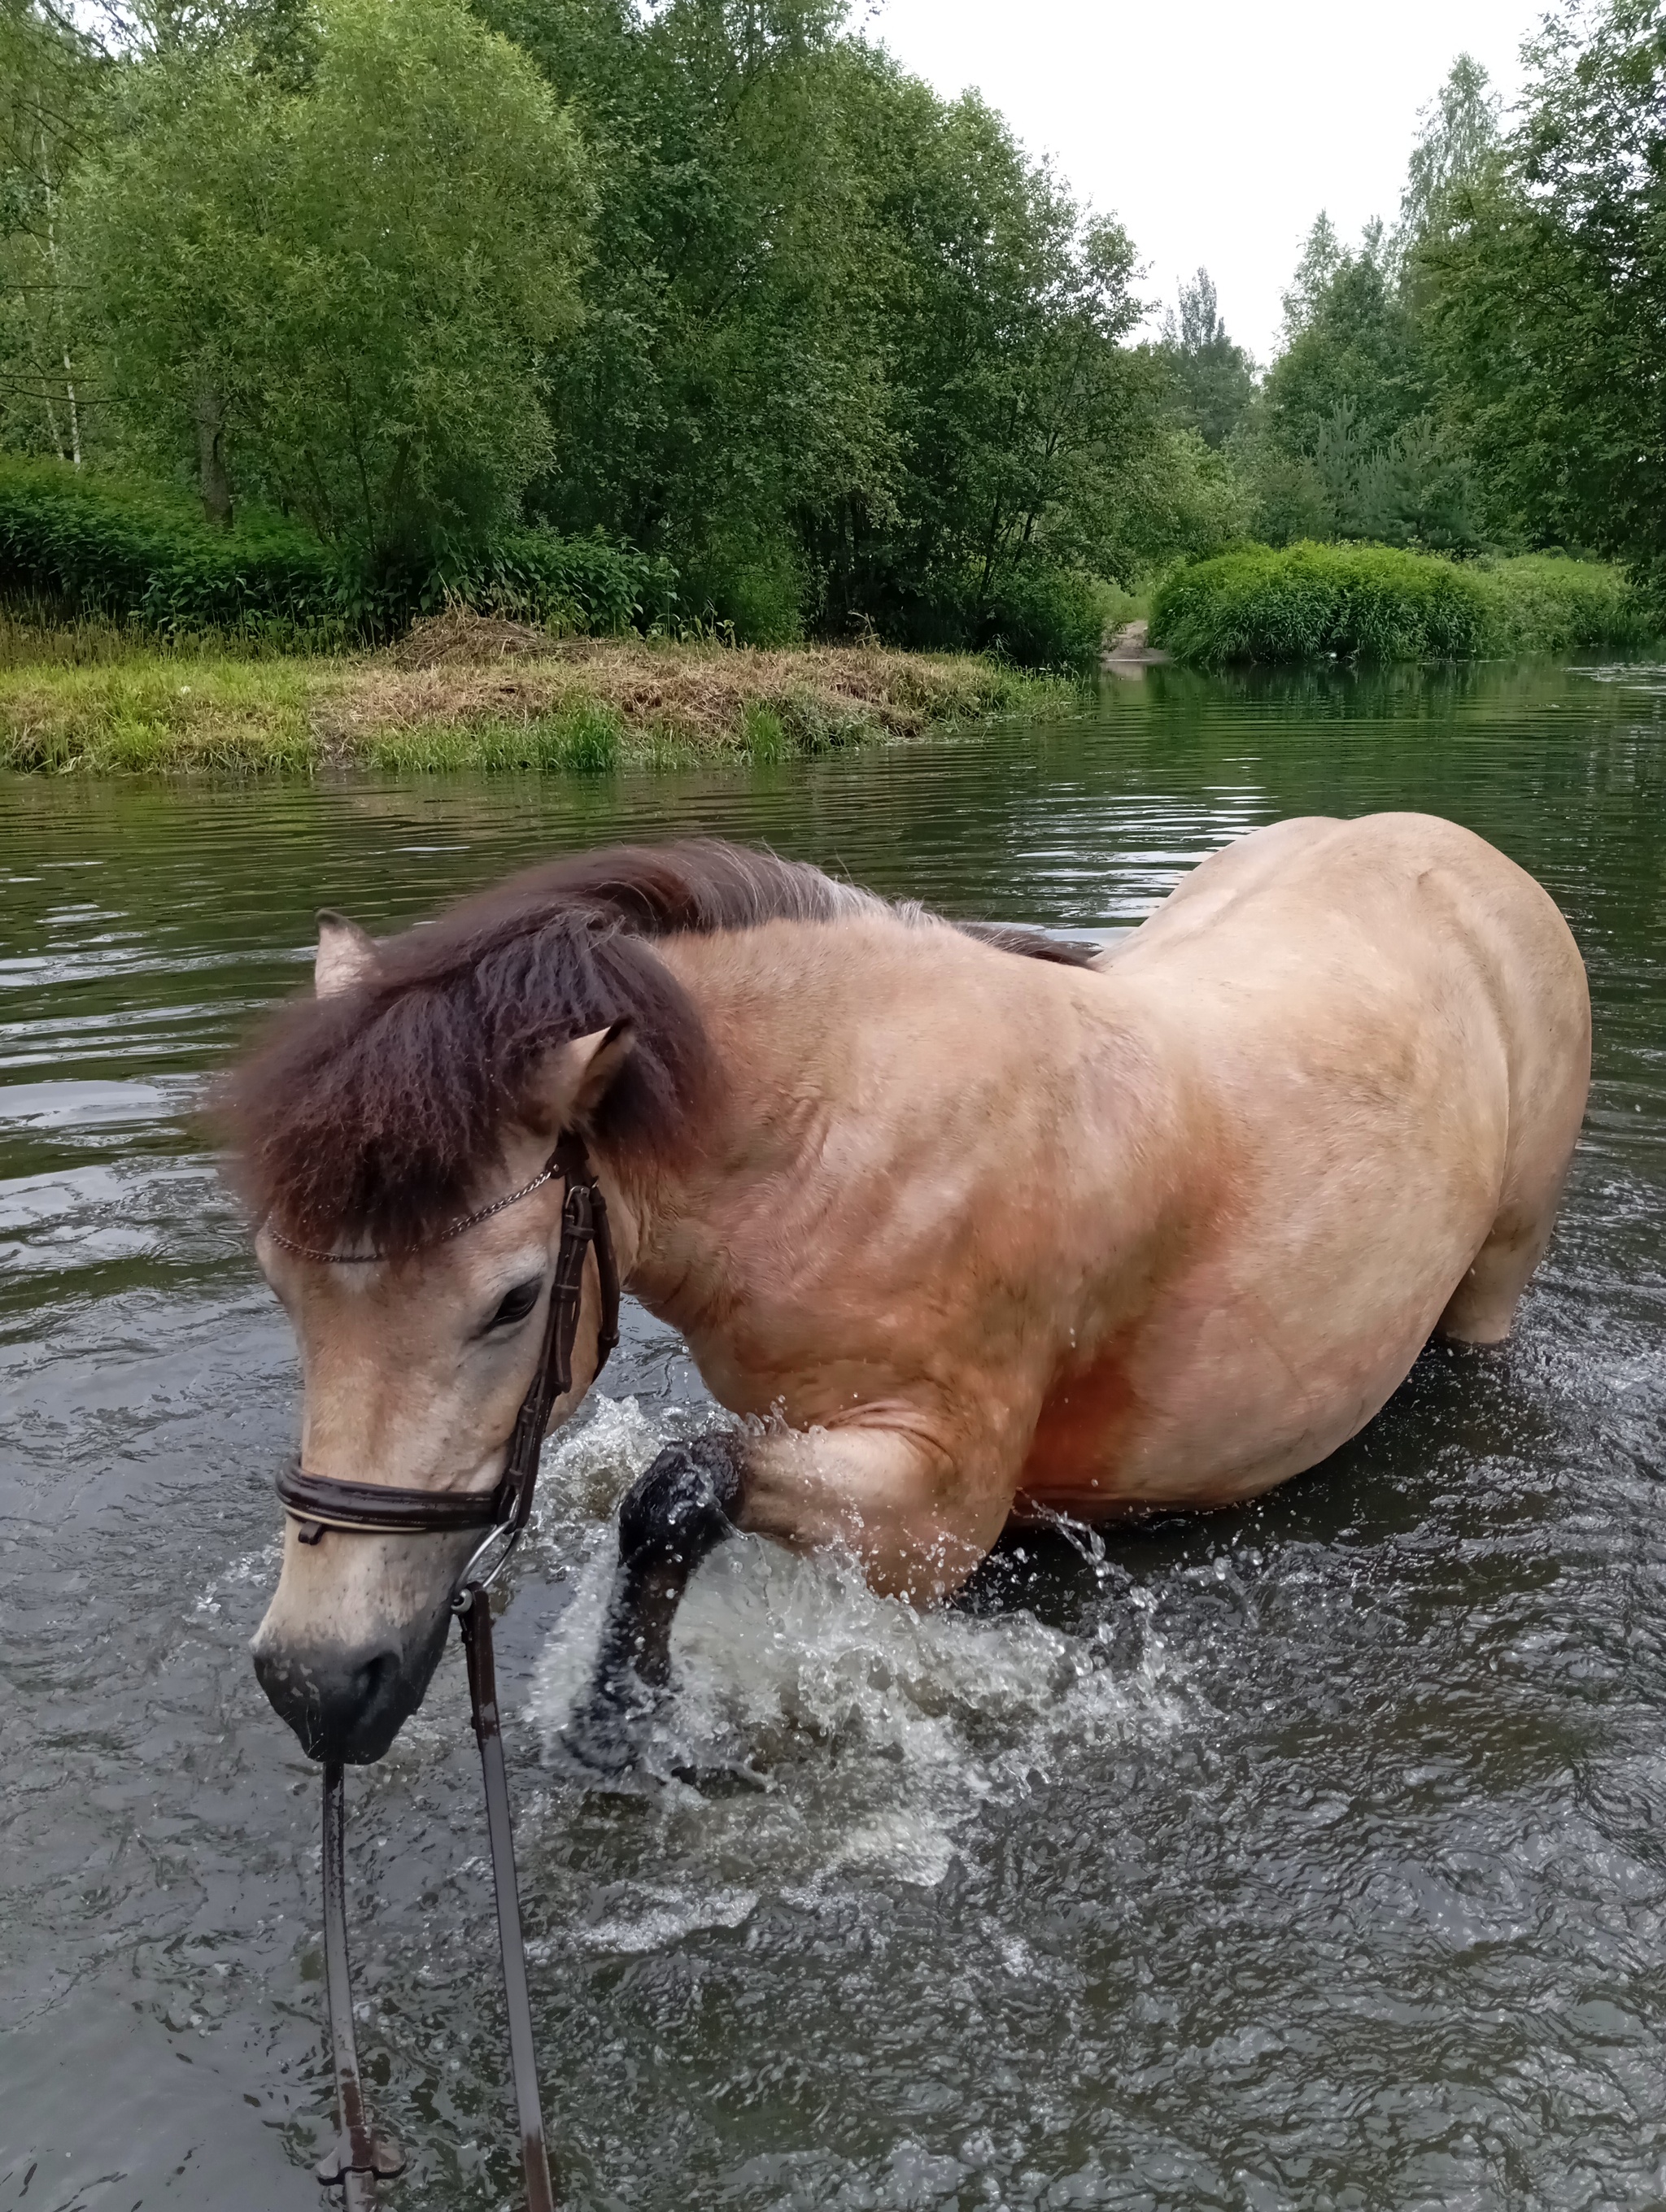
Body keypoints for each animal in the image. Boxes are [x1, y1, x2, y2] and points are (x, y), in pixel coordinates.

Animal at [220, 822, 1584, 1770]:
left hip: (1494, 1287)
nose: (315, 1681)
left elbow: (675, 1492)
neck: (845, 1138)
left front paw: (622, 1724)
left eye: (510, 1302)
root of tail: (1461, 852)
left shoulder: (938, 1509)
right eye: (281, 1282)